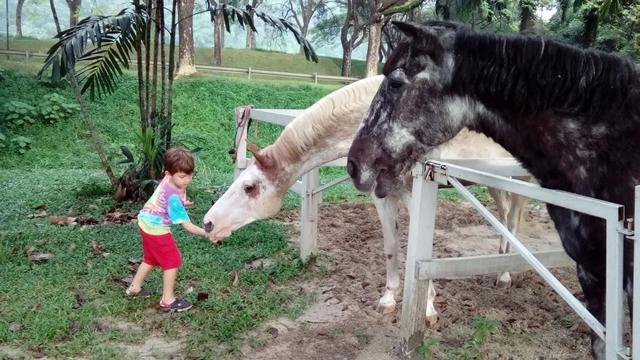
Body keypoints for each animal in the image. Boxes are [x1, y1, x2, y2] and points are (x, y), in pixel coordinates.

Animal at [202, 75, 528, 320]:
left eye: (250, 187)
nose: (208, 223)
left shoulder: (416, 192)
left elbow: (417, 252)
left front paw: (428, 307)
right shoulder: (382, 196)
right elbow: (390, 246)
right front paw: (388, 299)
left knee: (513, 219)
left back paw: (505, 275)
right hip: (496, 182)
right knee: (504, 215)